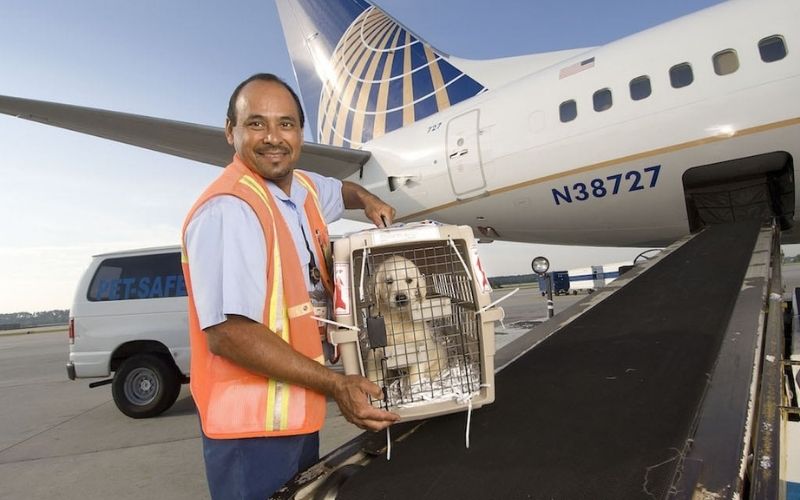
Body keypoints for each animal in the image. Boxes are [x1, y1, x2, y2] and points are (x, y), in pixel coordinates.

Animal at [364, 256, 446, 388]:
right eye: (389, 281)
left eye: (409, 280)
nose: (401, 298)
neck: (398, 317)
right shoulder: (375, 354)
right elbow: (373, 378)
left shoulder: (418, 351)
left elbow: (414, 377)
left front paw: (413, 390)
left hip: (438, 356)